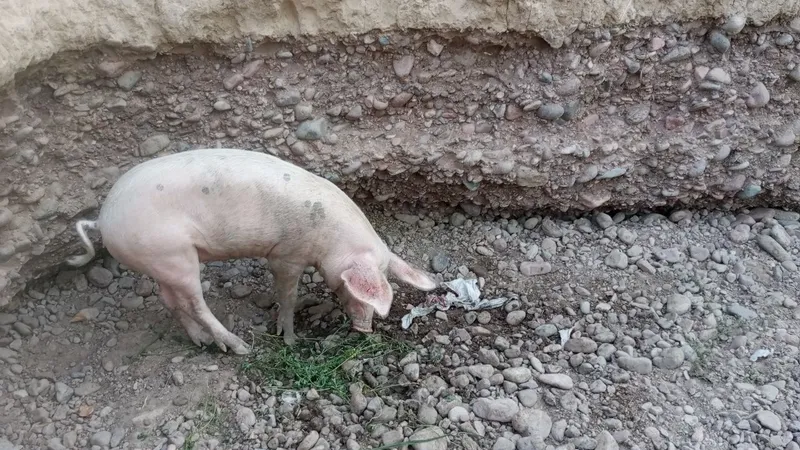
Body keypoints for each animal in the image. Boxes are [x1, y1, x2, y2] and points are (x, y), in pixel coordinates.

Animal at [65, 148, 437, 355]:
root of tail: (103, 219)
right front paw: (289, 338)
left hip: (160, 260)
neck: (331, 240)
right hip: (173, 256)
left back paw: (199, 342)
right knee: (195, 303)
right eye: (353, 288)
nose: (365, 330)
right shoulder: (286, 255)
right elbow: (287, 295)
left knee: (171, 300)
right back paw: (239, 348)